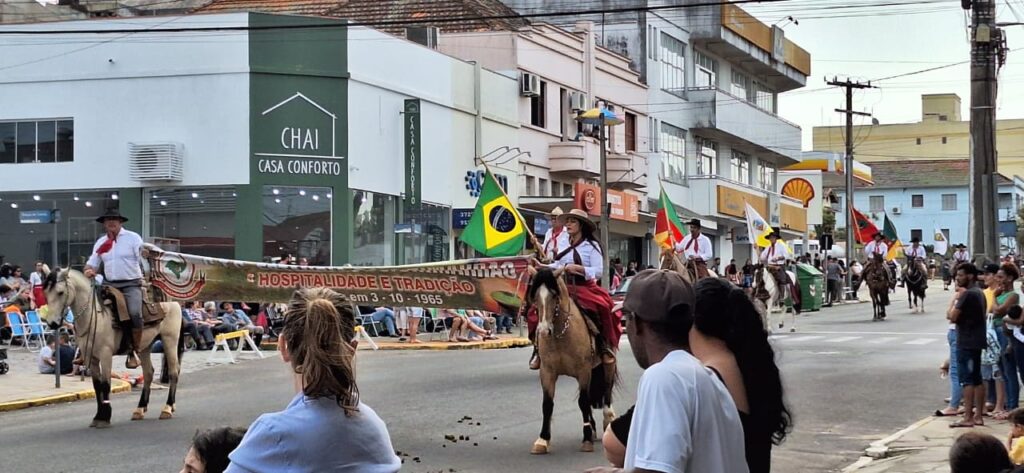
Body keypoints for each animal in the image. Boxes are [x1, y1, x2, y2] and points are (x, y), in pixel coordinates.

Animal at [528, 268, 614, 452]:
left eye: (554, 295)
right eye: (535, 296)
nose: (543, 331)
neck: (561, 334)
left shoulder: (583, 370)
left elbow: (583, 401)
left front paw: (586, 439)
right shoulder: (547, 371)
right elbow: (547, 404)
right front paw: (543, 440)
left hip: (608, 364)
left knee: (607, 390)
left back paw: (608, 419)